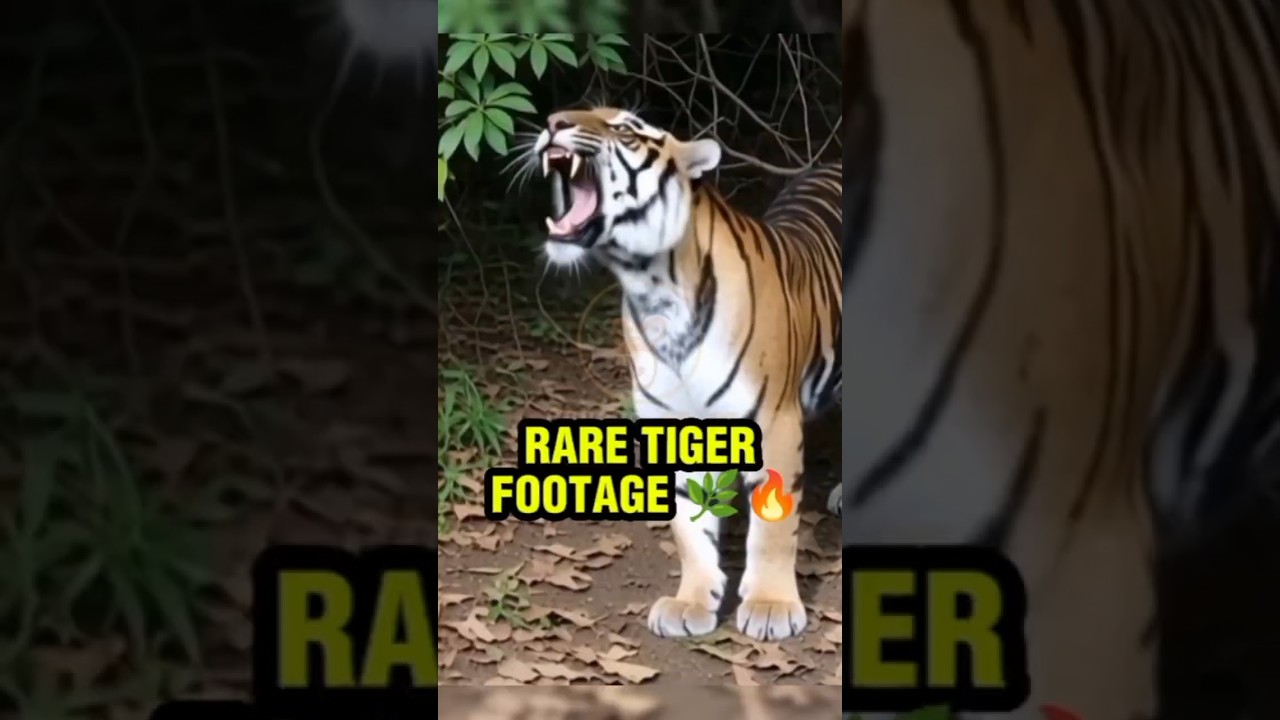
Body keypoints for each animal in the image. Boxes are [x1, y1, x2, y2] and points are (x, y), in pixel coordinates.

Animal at [528, 107, 842, 641]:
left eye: (626, 129)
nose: (553, 122)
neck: (654, 288)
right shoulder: (674, 425)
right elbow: (689, 526)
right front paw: (693, 601)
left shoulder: (776, 421)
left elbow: (774, 527)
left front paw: (771, 606)